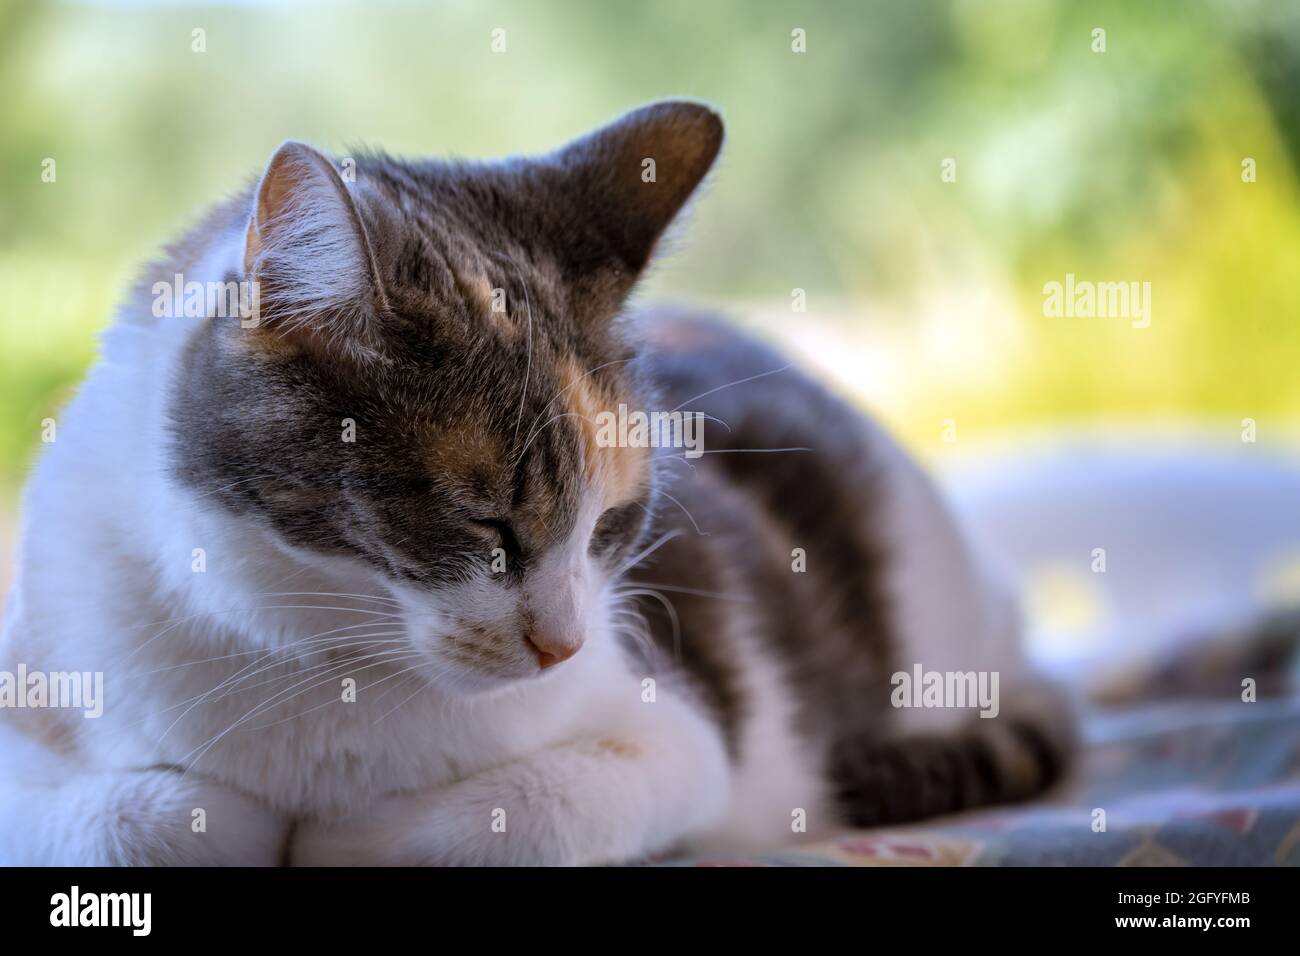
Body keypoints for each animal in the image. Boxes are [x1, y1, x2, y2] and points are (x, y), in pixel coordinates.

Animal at [0, 100, 1071, 863]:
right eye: (484, 524)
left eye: (611, 526)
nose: (564, 646)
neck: (322, 656)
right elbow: (144, 818)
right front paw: (229, 820)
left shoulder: (682, 741)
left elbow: (506, 817)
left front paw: (338, 836)